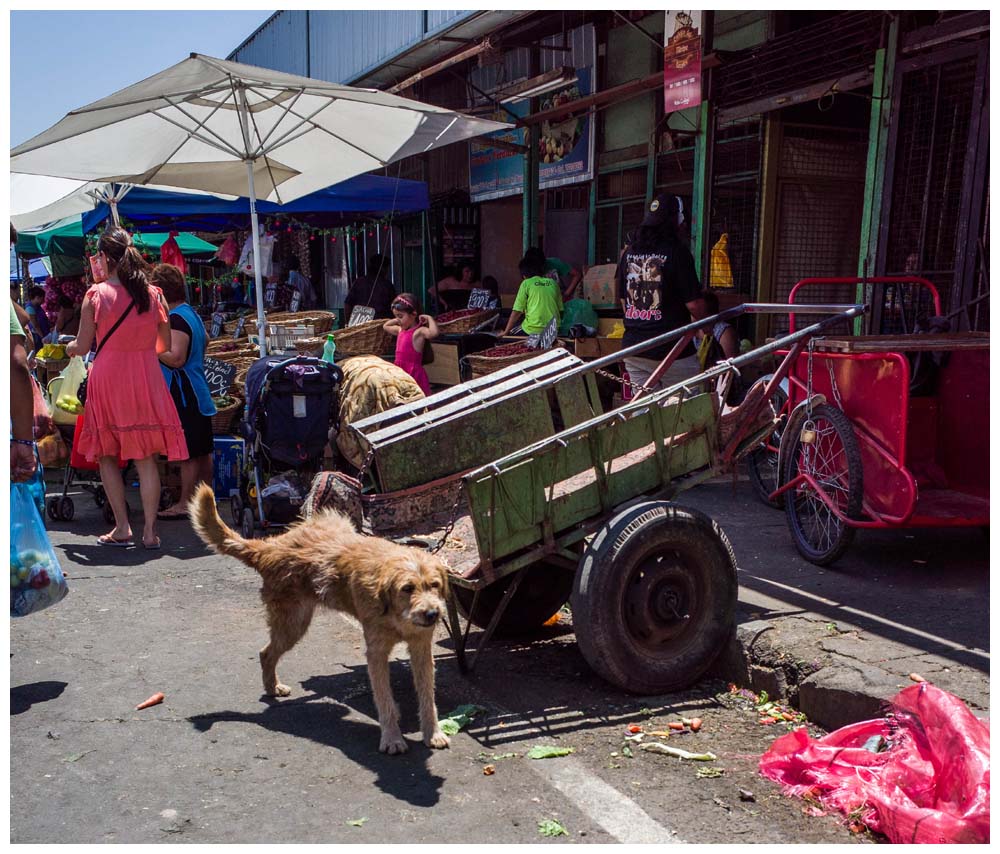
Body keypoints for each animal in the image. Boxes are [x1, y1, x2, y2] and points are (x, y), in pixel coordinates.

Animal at [188, 484, 454, 760]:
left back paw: (272, 687)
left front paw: (432, 733)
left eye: (434, 585)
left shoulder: (421, 649)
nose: (433, 614)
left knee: (266, 653)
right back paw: (272, 686)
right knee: (266, 653)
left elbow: (427, 696)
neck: (394, 612)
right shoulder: (376, 654)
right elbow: (385, 700)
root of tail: (269, 548)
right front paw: (392, 737)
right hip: (293, 624)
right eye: (407, 588)